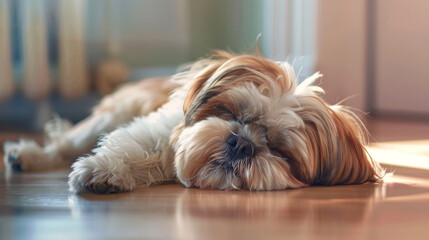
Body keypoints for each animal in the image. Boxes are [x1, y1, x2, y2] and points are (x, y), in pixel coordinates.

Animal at [2, 50, 384, 193]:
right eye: (233, 114)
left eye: (279, 149)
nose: (241, 143)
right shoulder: (153, 129)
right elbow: (129, 145)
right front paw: (102, 171)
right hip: (111, 114)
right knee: (65, 142)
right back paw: (27, 156)